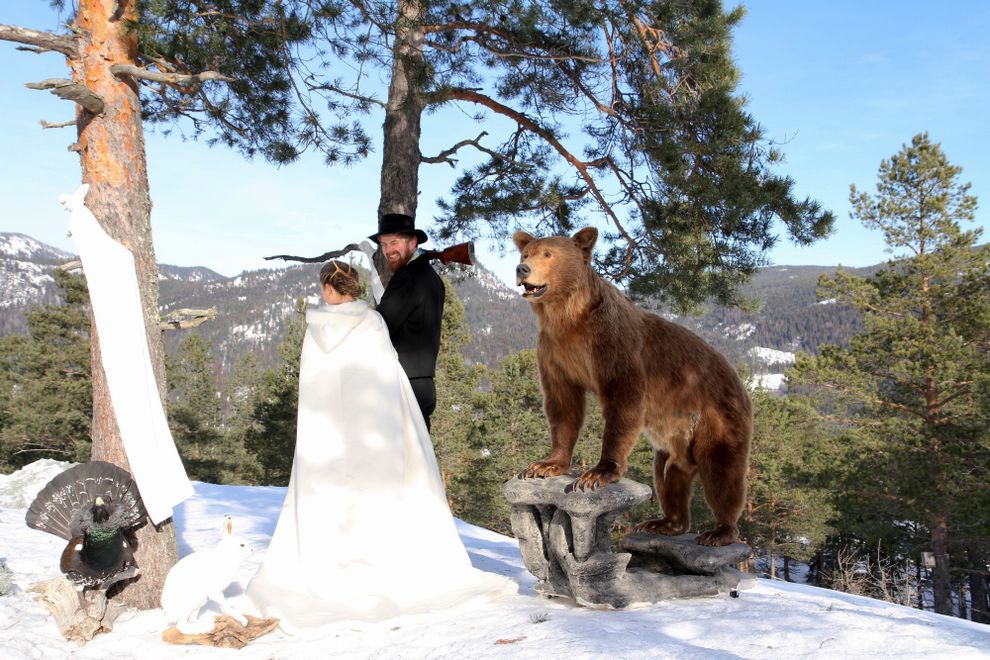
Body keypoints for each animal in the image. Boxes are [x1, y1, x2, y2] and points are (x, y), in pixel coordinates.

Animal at [520, 227, 752, 548]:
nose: (522, 269)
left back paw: (720, 531)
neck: (568, 318)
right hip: (674, 439)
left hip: (717, 416)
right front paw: (545, 465)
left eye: (547, 254)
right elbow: (563, 406)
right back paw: (665, 522)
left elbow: (622, 401)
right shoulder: (555, 353)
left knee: (722, 472)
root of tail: (738, 380)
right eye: (525, 252)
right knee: (669, 476)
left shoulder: (612, 344)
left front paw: (597, 473)